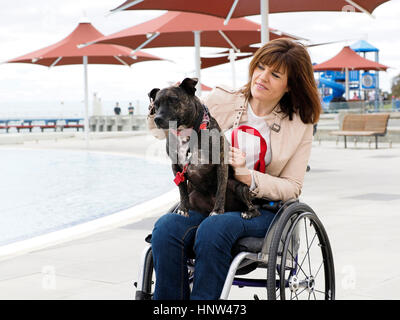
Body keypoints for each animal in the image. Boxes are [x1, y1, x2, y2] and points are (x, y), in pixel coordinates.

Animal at [149, 77, 260, 219]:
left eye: (173, 99)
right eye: (155, 105)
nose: (157, 119)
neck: (187, 132)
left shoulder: (221, 163)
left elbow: (220, 190)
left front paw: (217, 211)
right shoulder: (176, 167)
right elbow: (182, 191)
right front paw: (182, 209)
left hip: (240, 187)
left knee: (254, 207)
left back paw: (247, 212)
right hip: (194, 195)